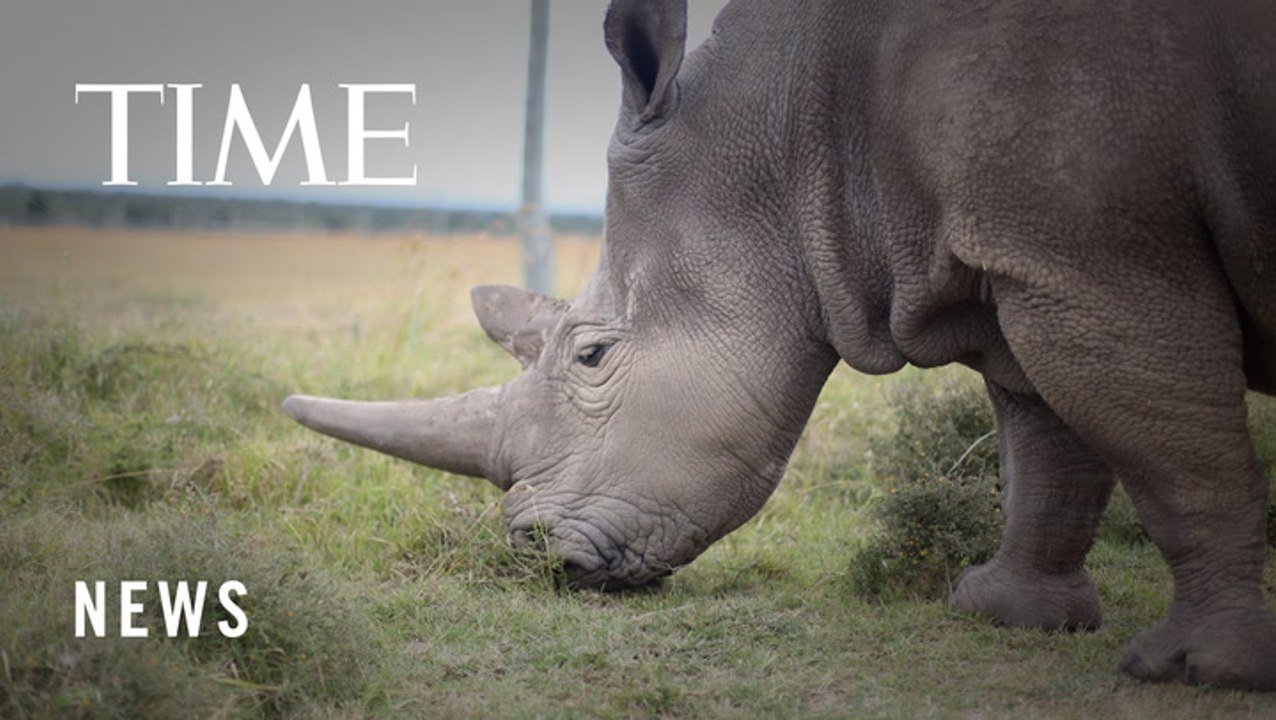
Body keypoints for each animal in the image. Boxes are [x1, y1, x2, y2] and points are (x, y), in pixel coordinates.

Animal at [285, 0, 1276, 690]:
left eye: (592, 358)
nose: (529, 557)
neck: (794, 138)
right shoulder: (1030, 257)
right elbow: (1046, 440)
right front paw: (1004, 613)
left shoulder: (1094, 253)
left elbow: (1173, 450)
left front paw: (1198, 669)